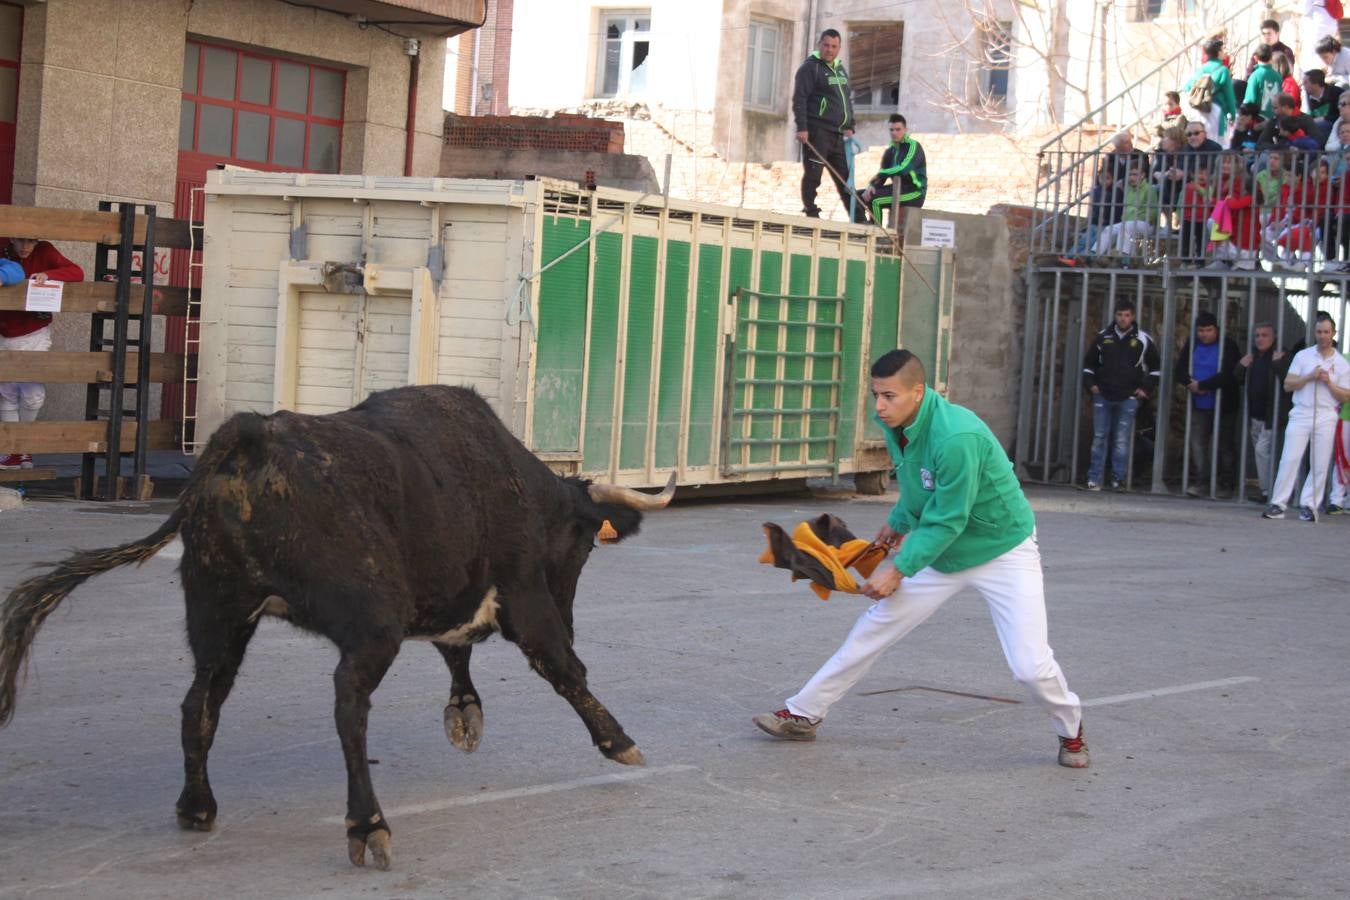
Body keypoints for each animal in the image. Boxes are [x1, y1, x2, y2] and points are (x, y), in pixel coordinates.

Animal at [0, 383, 675, 868]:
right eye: (584, 546)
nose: (574, 616)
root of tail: (251, 438)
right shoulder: (526, 598)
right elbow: (564, 668)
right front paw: (618, 741)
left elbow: (456, 649)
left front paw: (464, 714)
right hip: (368, 621)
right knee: (348, 702)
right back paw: (367, 824)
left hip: (218, 613)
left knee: (200, 704)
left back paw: (197, 807)